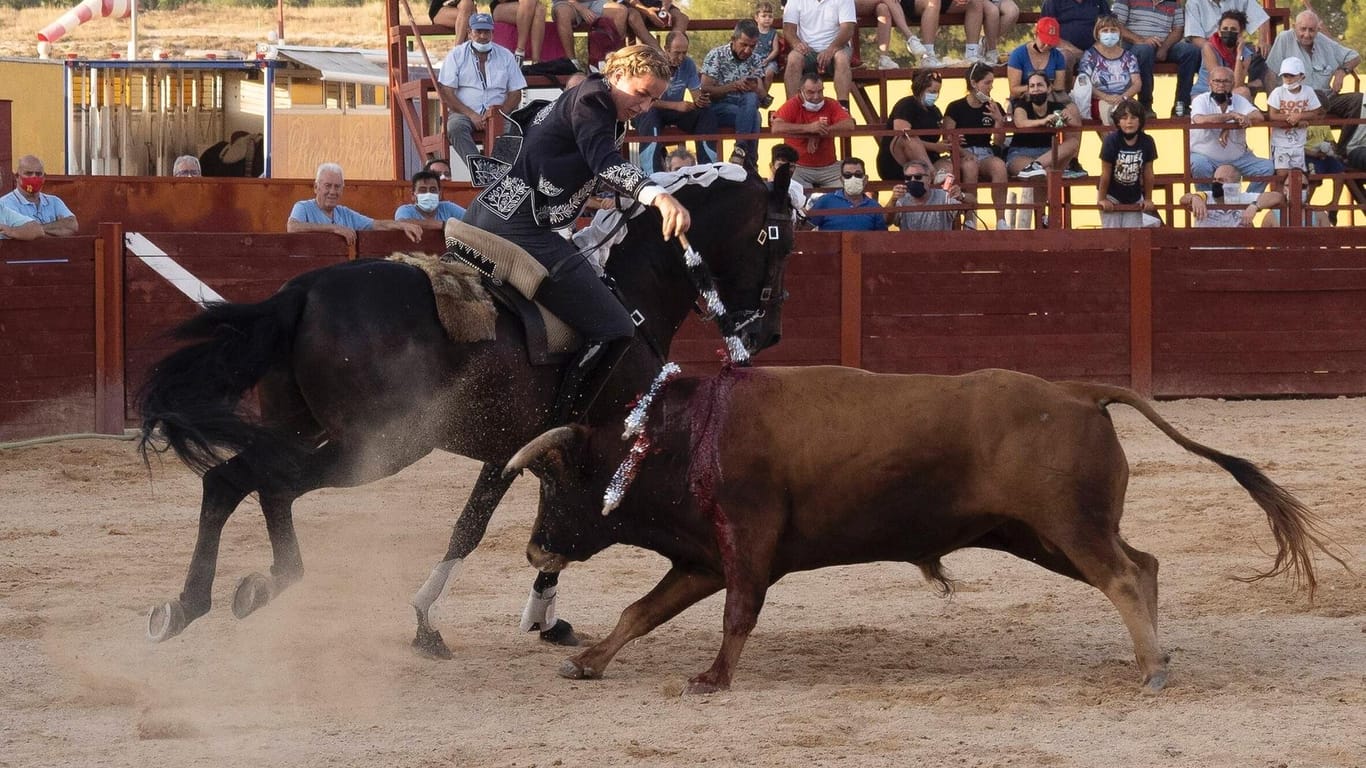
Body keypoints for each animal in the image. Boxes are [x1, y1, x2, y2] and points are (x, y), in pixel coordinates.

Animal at [135, 164, 797, 655]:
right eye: (778, 241)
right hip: (378, 447)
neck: (629, 289)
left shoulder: (519, 451)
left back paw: (205, 601)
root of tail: (302, 291)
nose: (767, 334)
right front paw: (432, 621)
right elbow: (501, 526)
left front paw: (541, 618)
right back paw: (237, 593)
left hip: (302, 427)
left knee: (236, 483)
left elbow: (494, 523)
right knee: (263, 483)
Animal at [505, 363, 1344, 694]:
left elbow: (736, 615)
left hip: (1065, 529)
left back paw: (1154, 667)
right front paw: (588, 662)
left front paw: (711, 680)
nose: (535, 547)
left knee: (1125, 574)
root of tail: (1078, 393)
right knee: (1145, 563)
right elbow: (639, 611)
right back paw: (1153, 654)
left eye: (560, 481)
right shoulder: (705, 557)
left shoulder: (745, 546)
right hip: (1042, 536)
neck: (682, 439)